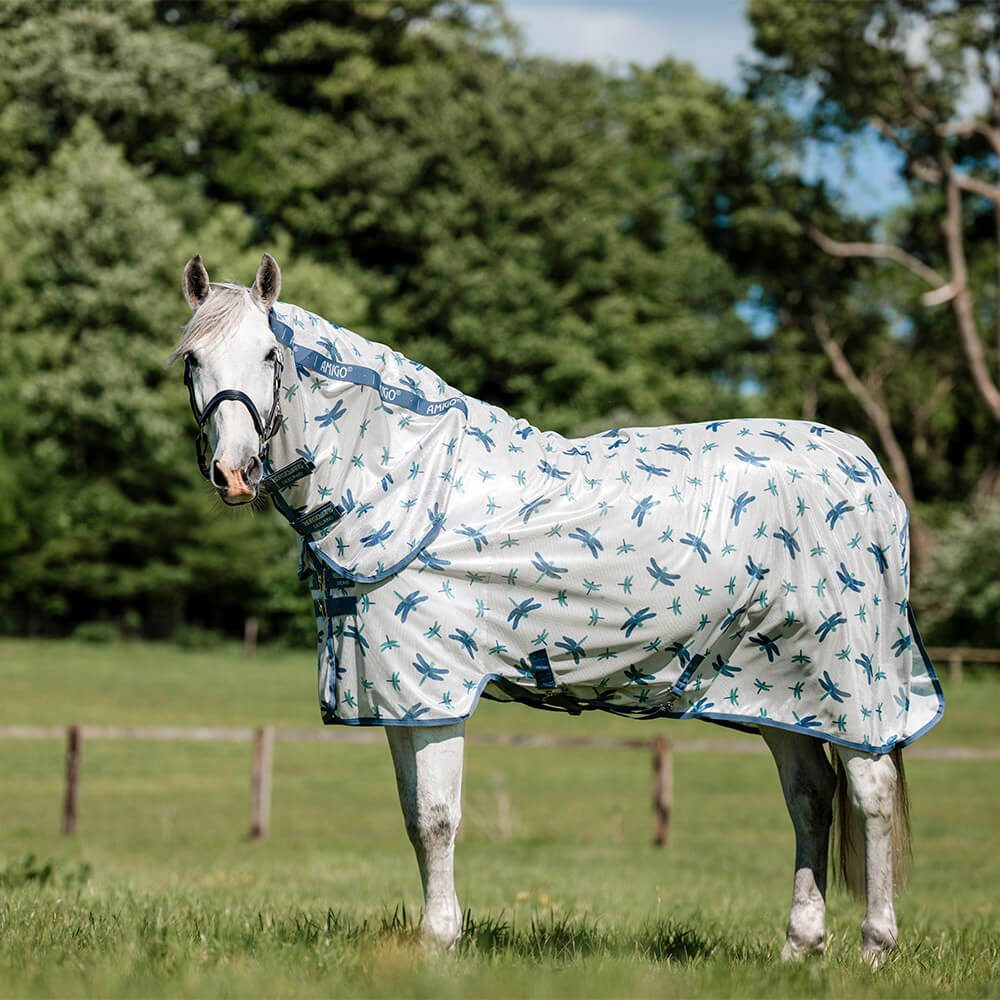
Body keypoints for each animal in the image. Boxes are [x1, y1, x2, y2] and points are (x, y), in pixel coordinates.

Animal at [173, 253, 944, 962]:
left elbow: (437, 818)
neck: (410, 484)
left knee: (869, 793)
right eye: (192, 359)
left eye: (269, 354)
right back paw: (799, 948)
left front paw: (438, 942)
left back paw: (874, 949)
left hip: (850, 682)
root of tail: (867, 470)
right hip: (780, 690)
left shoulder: (434, 689)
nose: (234, 473)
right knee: (810, 795)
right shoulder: (396, 694)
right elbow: (413, 816)